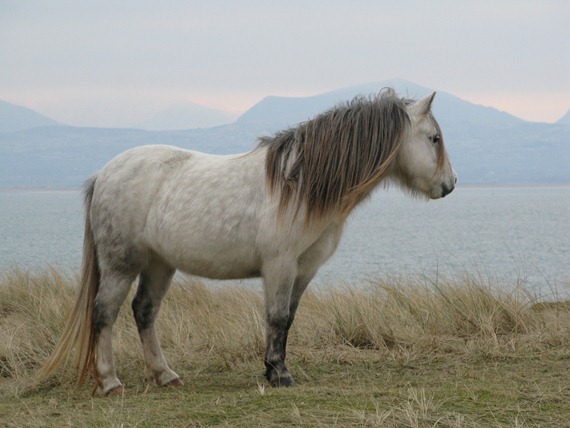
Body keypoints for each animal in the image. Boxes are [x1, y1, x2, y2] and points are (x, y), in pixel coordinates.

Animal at [36, 88, 458, 396]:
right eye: (435, 138)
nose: (450, 185)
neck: (299, 186)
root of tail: (104, 174)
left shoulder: (304, 269)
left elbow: (287, 320)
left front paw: (272, 370)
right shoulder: (280, 266)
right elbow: (277, 317)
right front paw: (280, 375)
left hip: (159, 264)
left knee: (144, 311)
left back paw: (165, 375)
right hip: (120, 264)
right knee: (104, 314)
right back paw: (110, 382)